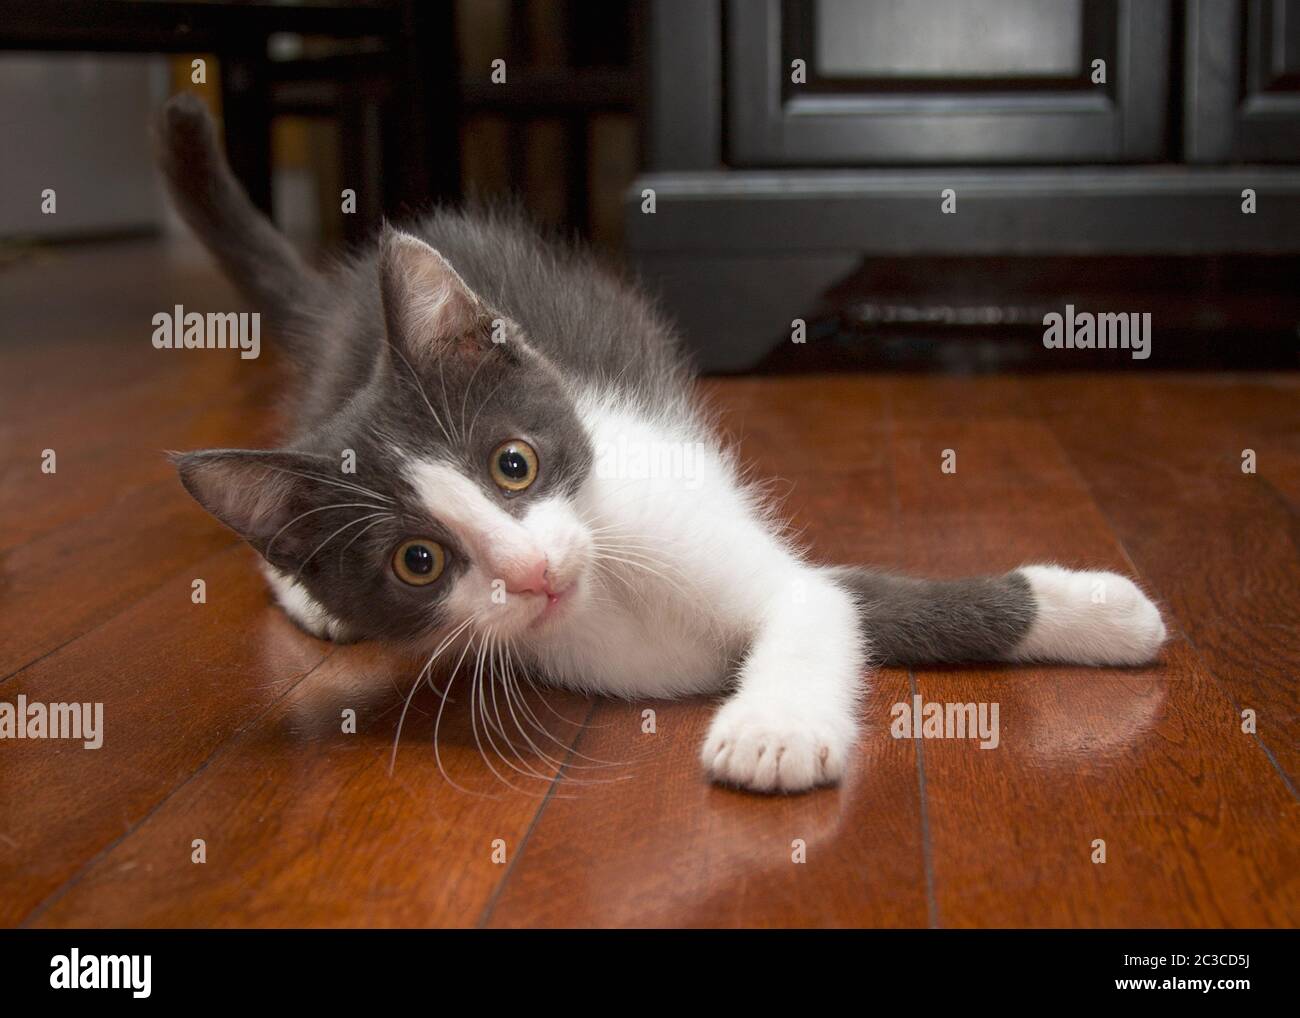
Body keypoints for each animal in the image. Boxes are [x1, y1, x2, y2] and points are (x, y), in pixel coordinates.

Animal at [154, 95, 1170, 790]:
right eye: (418, 561)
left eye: (513, 464)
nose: (531, 573)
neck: (613, 590)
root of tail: (342, 301)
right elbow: (855, 605)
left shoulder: (712, 533)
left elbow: (840, 603)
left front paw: (773, 727)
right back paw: (303, 595)